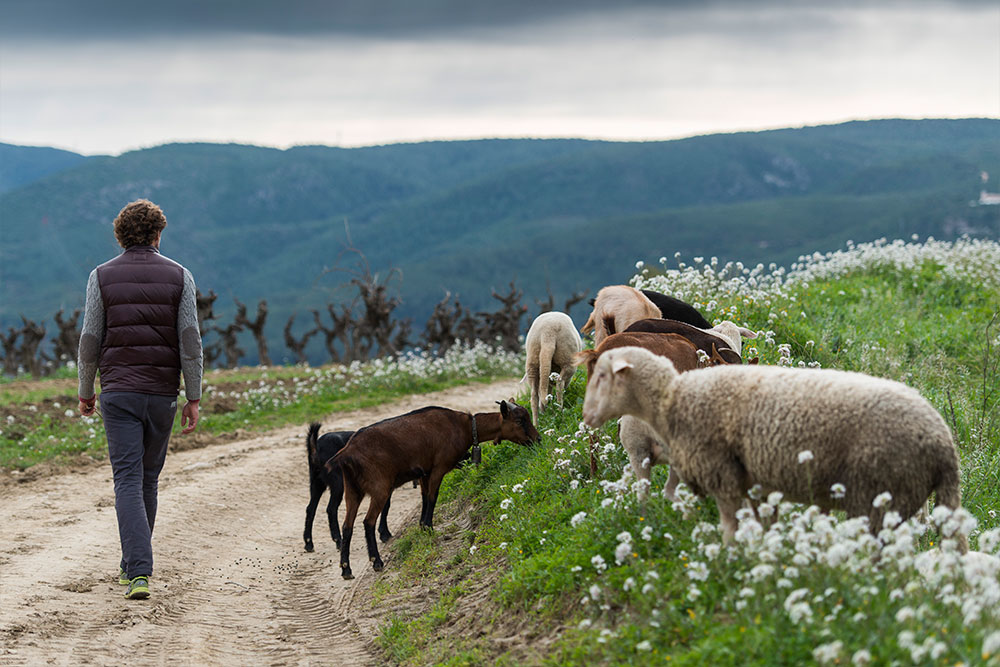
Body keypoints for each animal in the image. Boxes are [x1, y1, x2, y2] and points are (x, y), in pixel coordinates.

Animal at [332, 402, 540, 580]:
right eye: (519, 420)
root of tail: (347, 453)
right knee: (368, 521)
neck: (464, 426)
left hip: (353, 490)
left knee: (347, 526)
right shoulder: (438, 468)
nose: (537, 439)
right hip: (380, 487)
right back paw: (376, 561)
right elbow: (433, 497)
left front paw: (423, 526)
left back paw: (346, 569)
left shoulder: (424, 473)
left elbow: (425, 498)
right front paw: (429, 528)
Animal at [584, 348, 964, 552]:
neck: (671, 399)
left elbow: (730, 528)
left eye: (602, 376)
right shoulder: (757, 485)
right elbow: (763, 525)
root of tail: (944, 445)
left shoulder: (724, 477)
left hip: (880, 497)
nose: (587, 417)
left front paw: (732, 560)